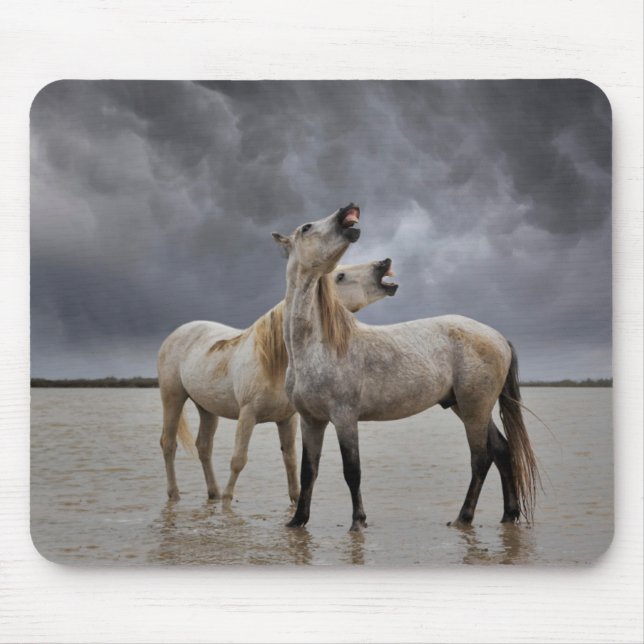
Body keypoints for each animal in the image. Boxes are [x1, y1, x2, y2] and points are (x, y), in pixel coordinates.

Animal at [157, 259, 398, 504]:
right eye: (340, 276)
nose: (382, 264)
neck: (274, 361)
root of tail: (178, 333)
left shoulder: (287, 419)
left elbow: (290, 460)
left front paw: (295, 499)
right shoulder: (247, 414)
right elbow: (238, 459)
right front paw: (228, 500)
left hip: (206, 408)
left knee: (204, 447)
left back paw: (213, 493)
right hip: (173, 397)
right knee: (168, 443)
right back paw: (175, 494)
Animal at [272, 204, 539, 532]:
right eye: (307, 227)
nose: (348, 211)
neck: (315, 347)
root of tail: (498, 336)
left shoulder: (345, 418)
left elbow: (352, 471)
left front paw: (358, 521)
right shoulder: (312, 421)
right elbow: (309, 471)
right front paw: (297, 521)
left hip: (474, 409)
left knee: (481, 458)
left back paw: (463, 517)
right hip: (466, 407)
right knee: (502, 450)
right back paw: (508, 514)